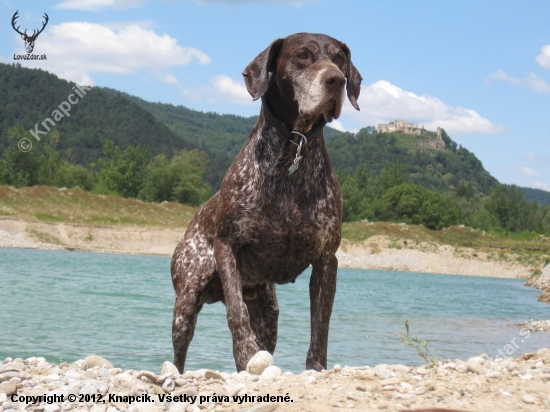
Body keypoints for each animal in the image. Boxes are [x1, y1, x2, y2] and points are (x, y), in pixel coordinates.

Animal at [170, 33, 364, 374]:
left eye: (340, 59)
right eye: (303, 55)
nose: (337, 81)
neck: (294, 148)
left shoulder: (326, 259)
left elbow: (320, 324)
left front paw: (316, 367)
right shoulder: (227, 245)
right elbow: (236, 315)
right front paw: (246, 355)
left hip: (268, 313)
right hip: (186, 302)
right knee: (179, 355)